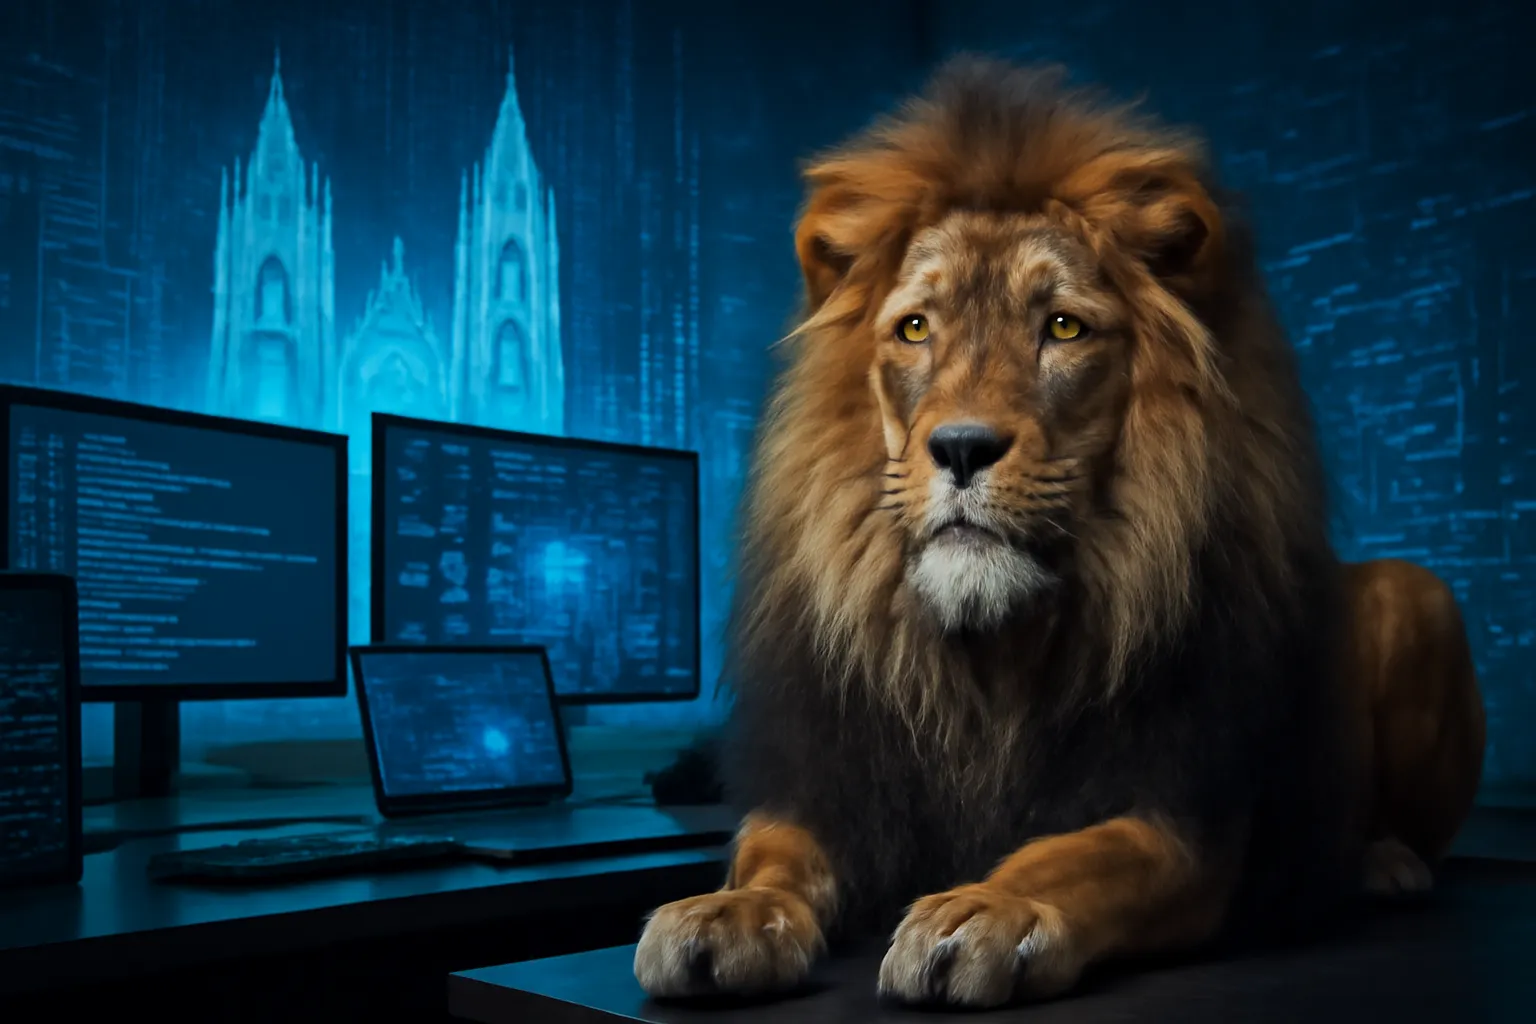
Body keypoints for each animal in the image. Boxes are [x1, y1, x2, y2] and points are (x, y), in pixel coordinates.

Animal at [633, 58, 1487, 1008]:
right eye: (915, 328)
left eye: (1063, 326)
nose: (961, 447)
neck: (991, 660)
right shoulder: (836, 784)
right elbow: (774, 850)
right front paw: (727, 912)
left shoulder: (1190, 812)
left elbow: (1080, 855)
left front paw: (984, 913)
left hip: (1418, 593)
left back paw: (1386, 864)